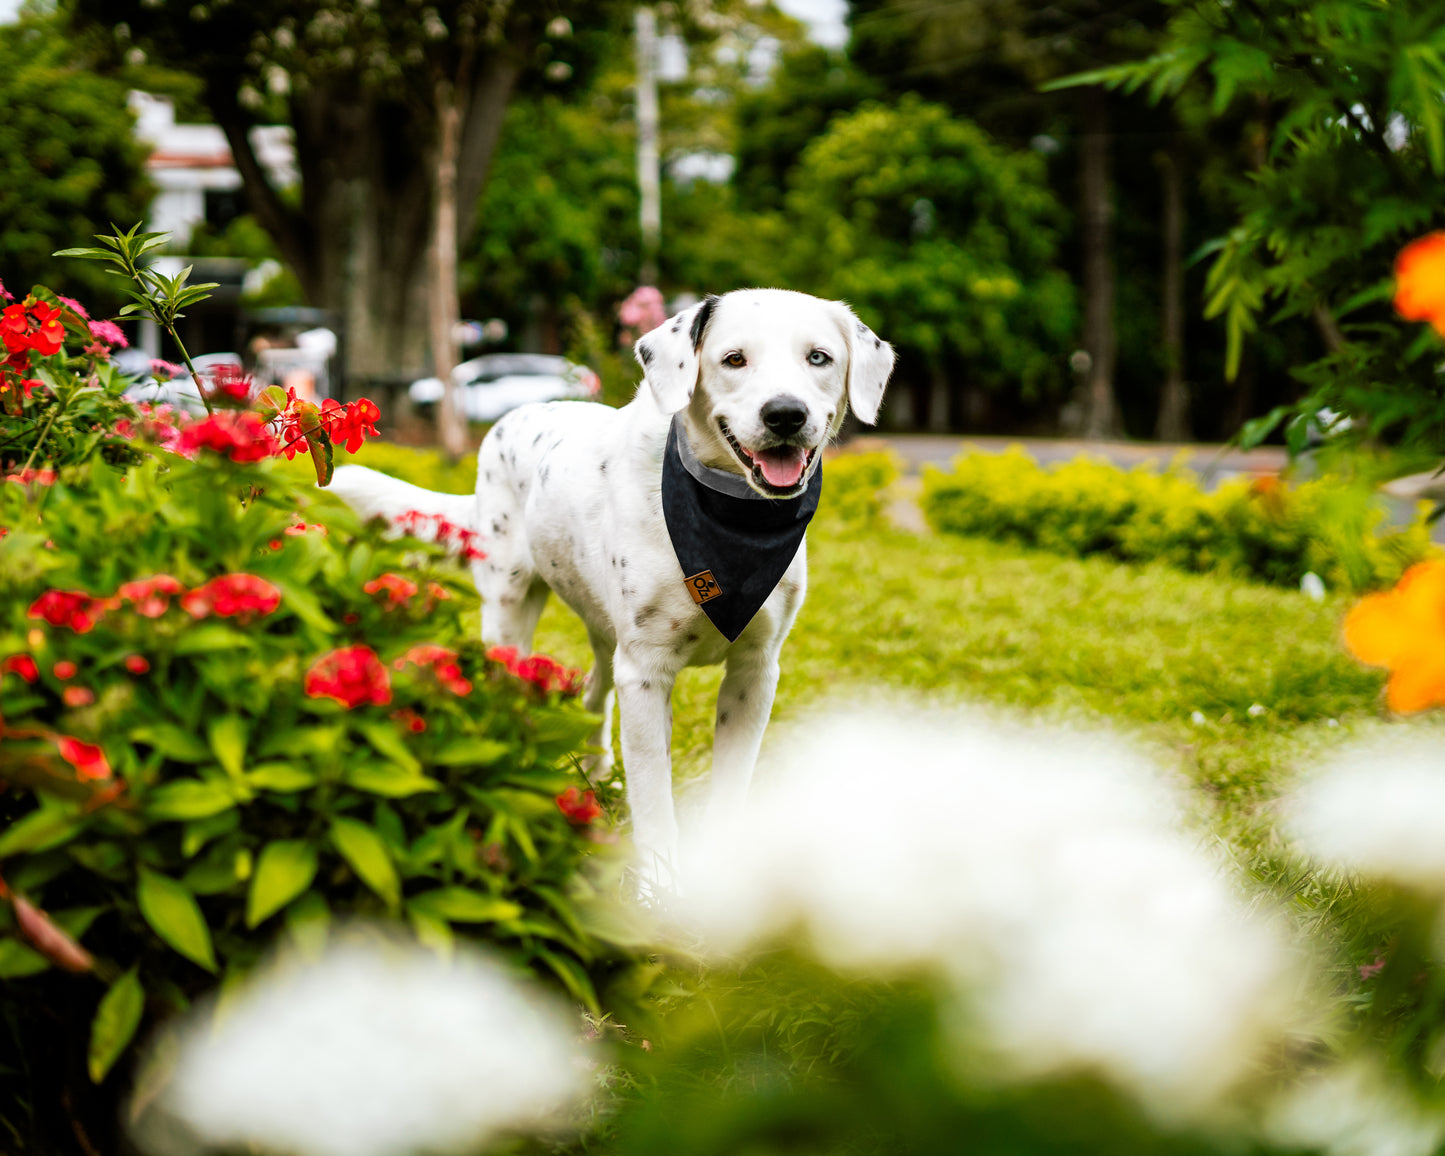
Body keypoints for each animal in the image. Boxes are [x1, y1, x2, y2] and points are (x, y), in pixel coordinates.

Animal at [330, 291, 890, 884]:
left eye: (818, 358)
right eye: (734, 359)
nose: (785, 413)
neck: (731, 515)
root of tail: (517, 414)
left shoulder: (755, 670)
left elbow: (731, 784)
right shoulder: (644, 671)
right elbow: (654, 799)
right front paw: (658, 887)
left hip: (603, 627)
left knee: (593, 689)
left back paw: (597, 773)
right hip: (511, 611)